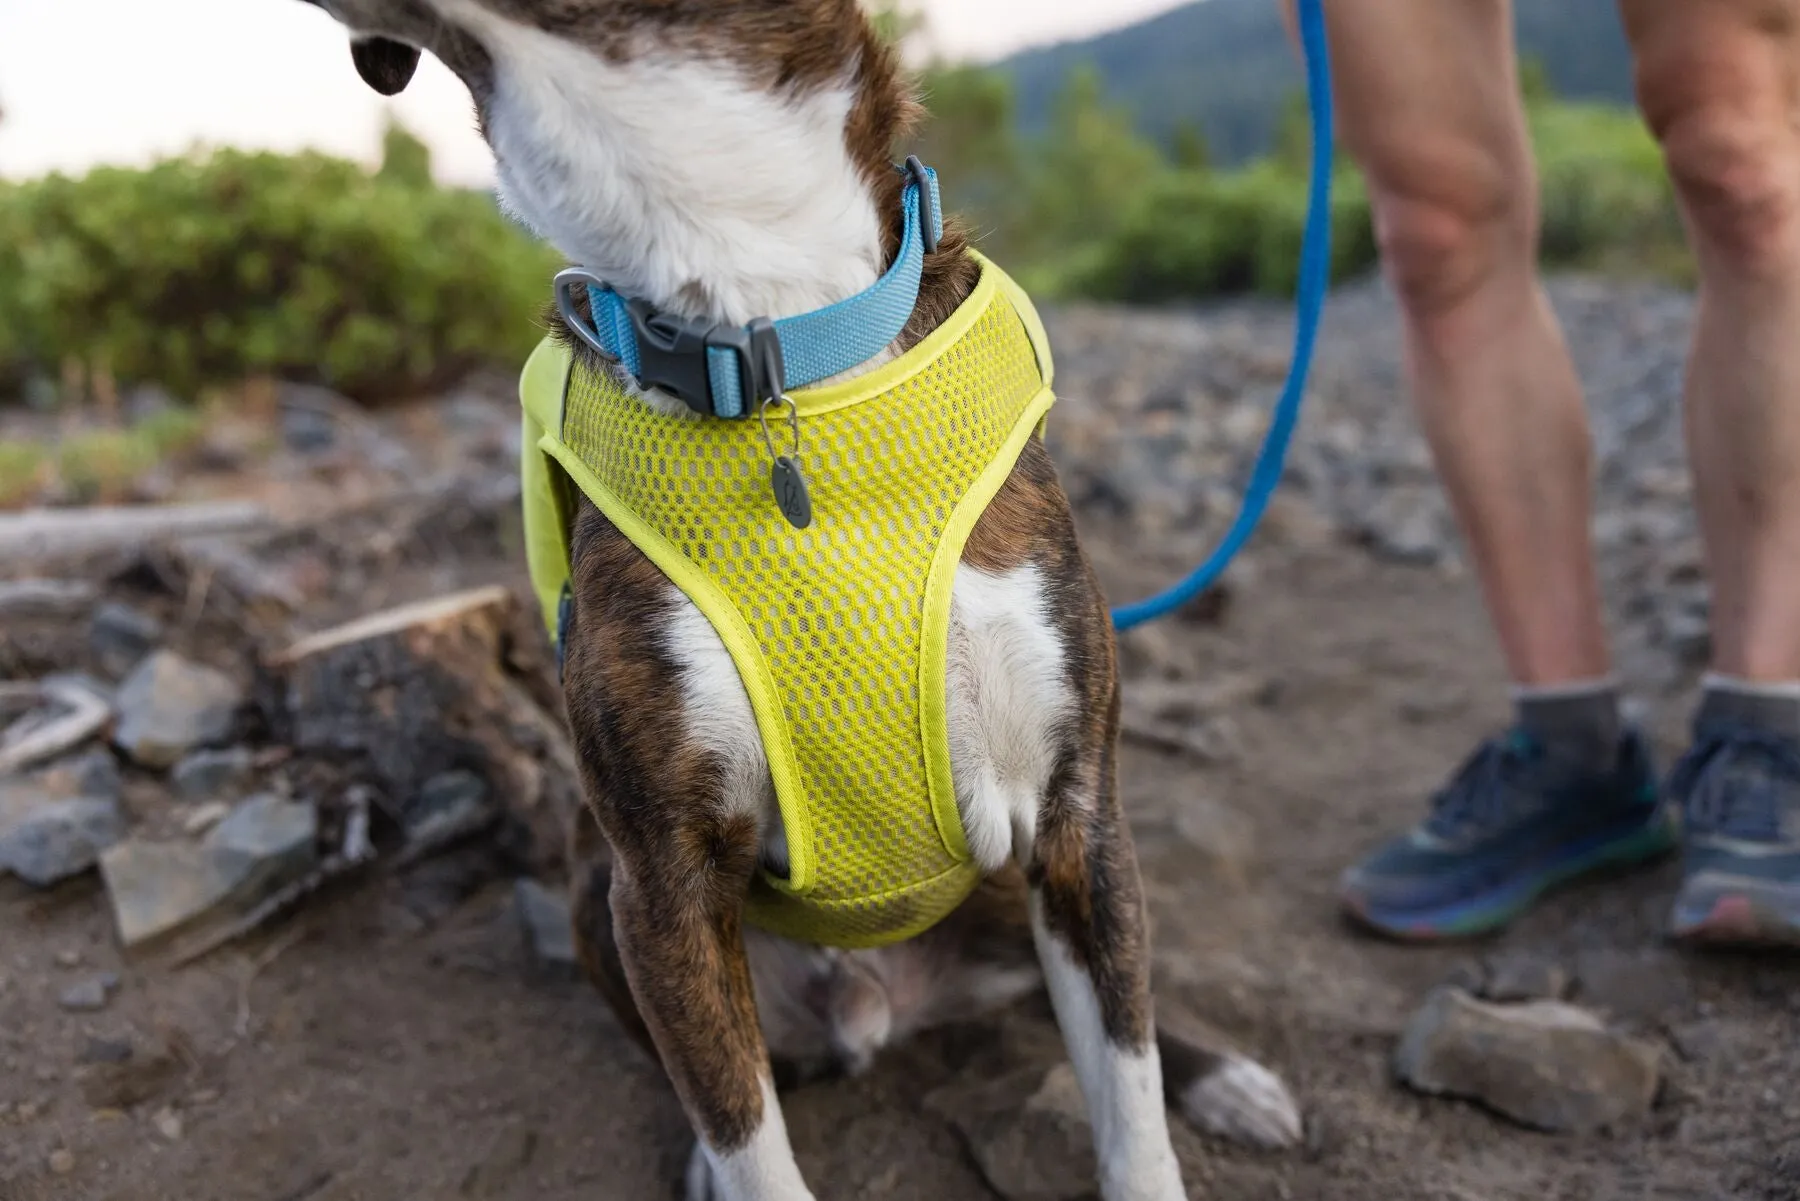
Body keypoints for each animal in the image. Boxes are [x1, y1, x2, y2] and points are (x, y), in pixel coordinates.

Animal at [295, 4, 1310, 1195]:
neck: (767, 338)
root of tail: (881, 1002)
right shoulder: (660, 887)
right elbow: (746, 1132)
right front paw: (723, 1155)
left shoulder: (1078, 817)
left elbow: (1130, 1099)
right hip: (600, 896)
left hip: (1024, 890)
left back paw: (1222, 1076)